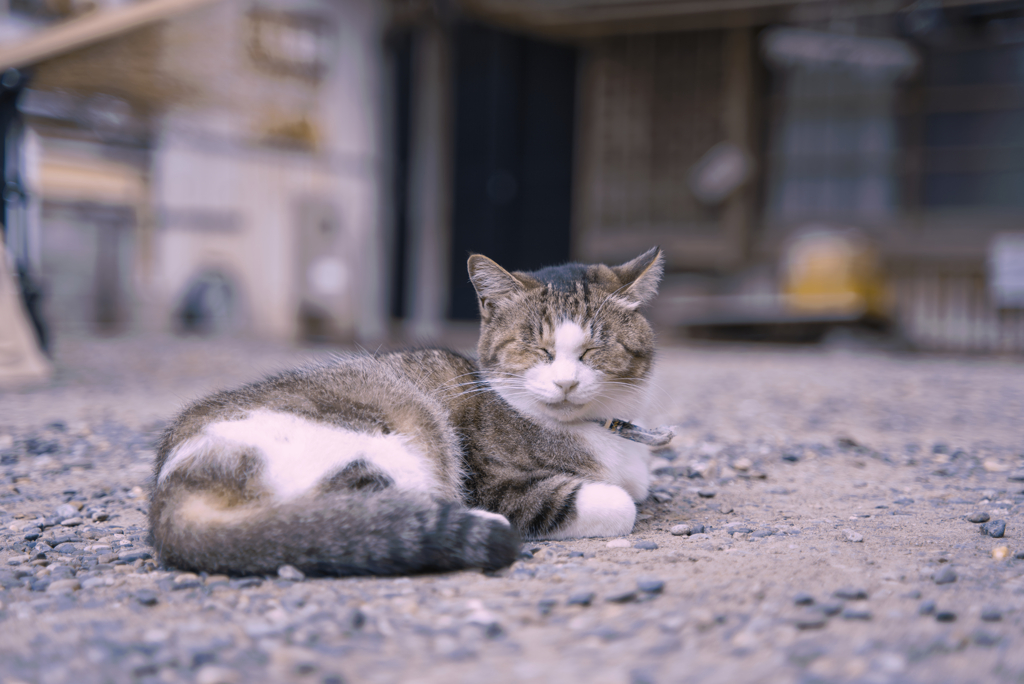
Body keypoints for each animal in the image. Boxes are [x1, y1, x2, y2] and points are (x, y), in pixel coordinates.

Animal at [149, 246, 663, 577]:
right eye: (536, 349)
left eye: (594, 349)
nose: (566, 382)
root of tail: (169, 489)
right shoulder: (495, 483)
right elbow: (619, 503)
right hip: (387, 441)